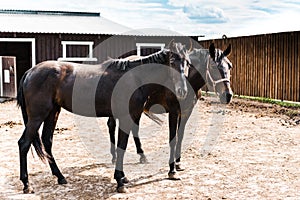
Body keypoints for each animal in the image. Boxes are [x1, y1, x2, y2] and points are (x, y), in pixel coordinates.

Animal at [16, 41, 190, 194]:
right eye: (172, 62)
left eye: (187, 63)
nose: (182, 91)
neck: (135, 77)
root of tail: (30, 72)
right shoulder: (126, 117)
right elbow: (121, 147)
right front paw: (120, 181)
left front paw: (123, 177)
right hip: (37, 116)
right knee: (24, 143)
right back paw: (27, 184)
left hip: (53, 112)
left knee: (47, 141)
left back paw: (60, 177)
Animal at [106, 42, 233, 180]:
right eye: (213, 66)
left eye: (230, 66)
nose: (227, 95)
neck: (186, 80)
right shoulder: (173, 112)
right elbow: (173, 139)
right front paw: (172, 170)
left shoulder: (186, 112)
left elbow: (180, 136)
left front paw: (178, 163)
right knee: (112, 125)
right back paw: (114, 157)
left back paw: (142, 155)